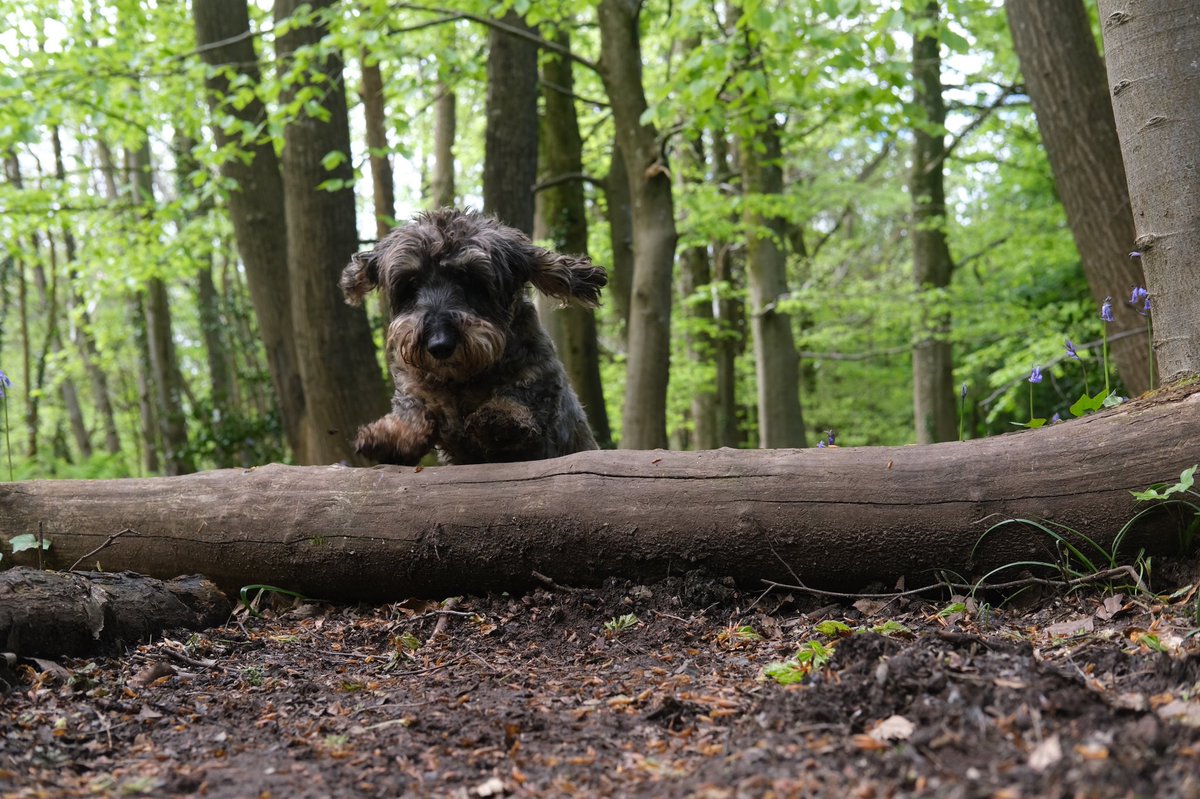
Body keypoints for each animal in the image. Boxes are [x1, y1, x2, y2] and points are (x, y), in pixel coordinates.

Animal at [340, 208, 609, 463]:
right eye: (411, 283)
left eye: (470, 280)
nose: (440, 345)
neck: (462, 380)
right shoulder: (416, 387)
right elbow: (413, 406)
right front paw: (390, 435)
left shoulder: (541, 377)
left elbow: (520, 394)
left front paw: (500, 416)